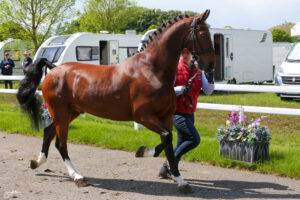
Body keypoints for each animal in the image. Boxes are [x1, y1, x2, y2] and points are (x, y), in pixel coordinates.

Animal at [16, 9, 214, 192]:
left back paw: (37, 162)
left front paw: (177, 178)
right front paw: (147, 154)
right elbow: (166, 137)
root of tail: (54, 68)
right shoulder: (143, 117)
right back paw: (77, 176)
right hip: (61, 113)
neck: (151, 71)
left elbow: (168, 143)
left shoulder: (166, 117)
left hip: (71, 112)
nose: (210, 66)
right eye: (203, 34)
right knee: (60, 143)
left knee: (48, 132)